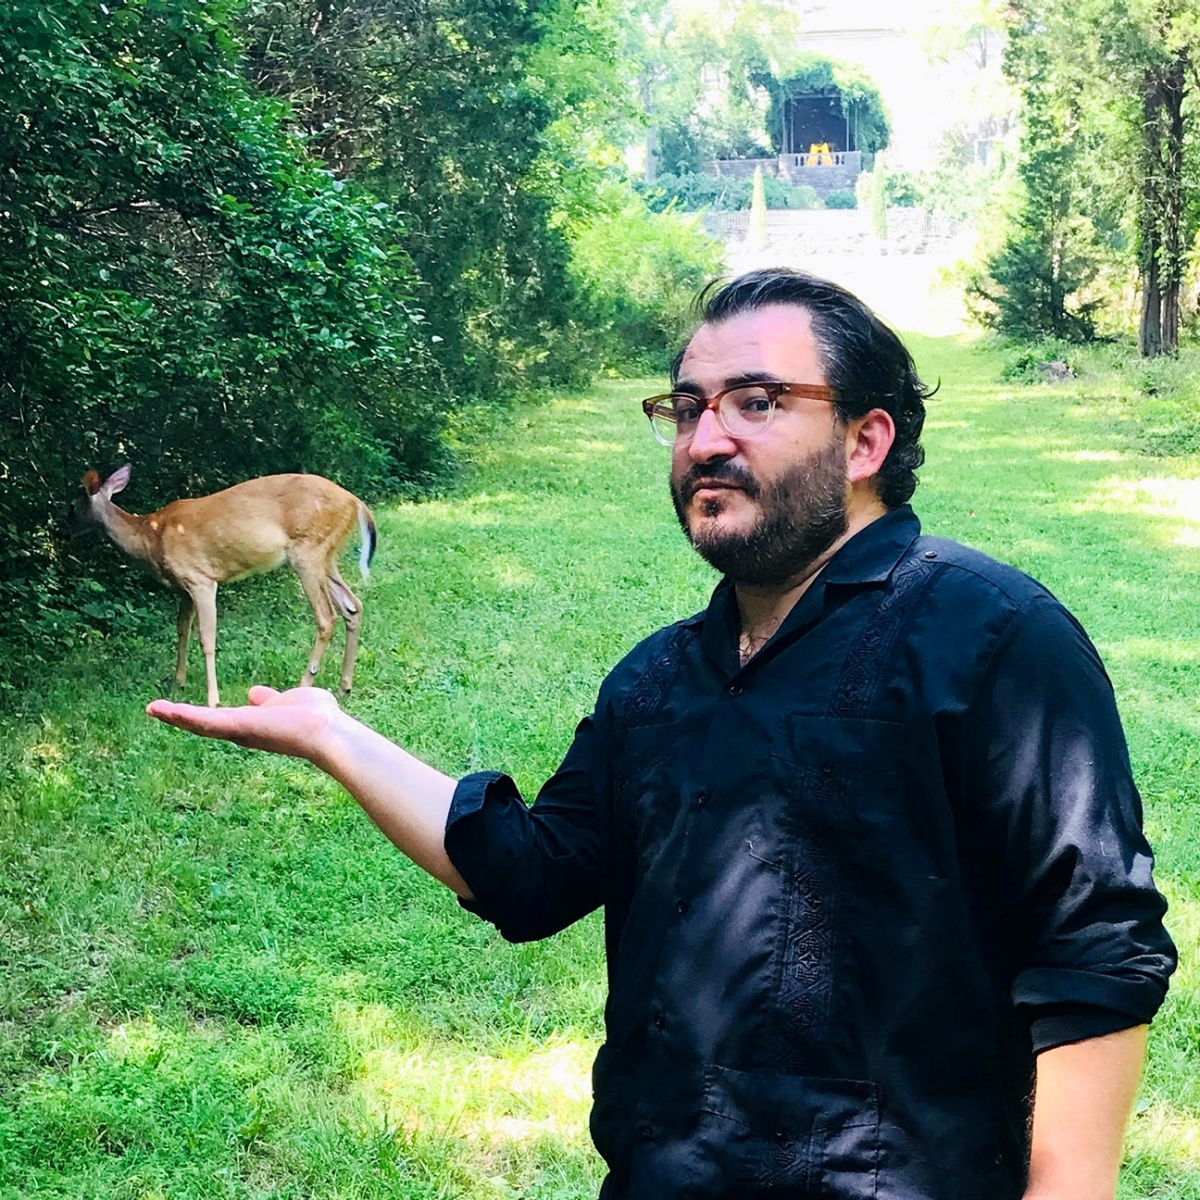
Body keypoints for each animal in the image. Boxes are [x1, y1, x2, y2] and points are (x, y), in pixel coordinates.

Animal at [69, 465, 374, 710]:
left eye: (72, 505)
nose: (65, 528)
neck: (150, 536)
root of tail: (356, 502)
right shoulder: (184, 587)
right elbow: (182, 629)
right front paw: (177, 681)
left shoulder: (201, 579)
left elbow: (207, 638)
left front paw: (213, 700)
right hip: (326, 556)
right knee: (352, 606)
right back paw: (344, 687)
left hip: (308, 550)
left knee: (326, 616)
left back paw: (304, 685)